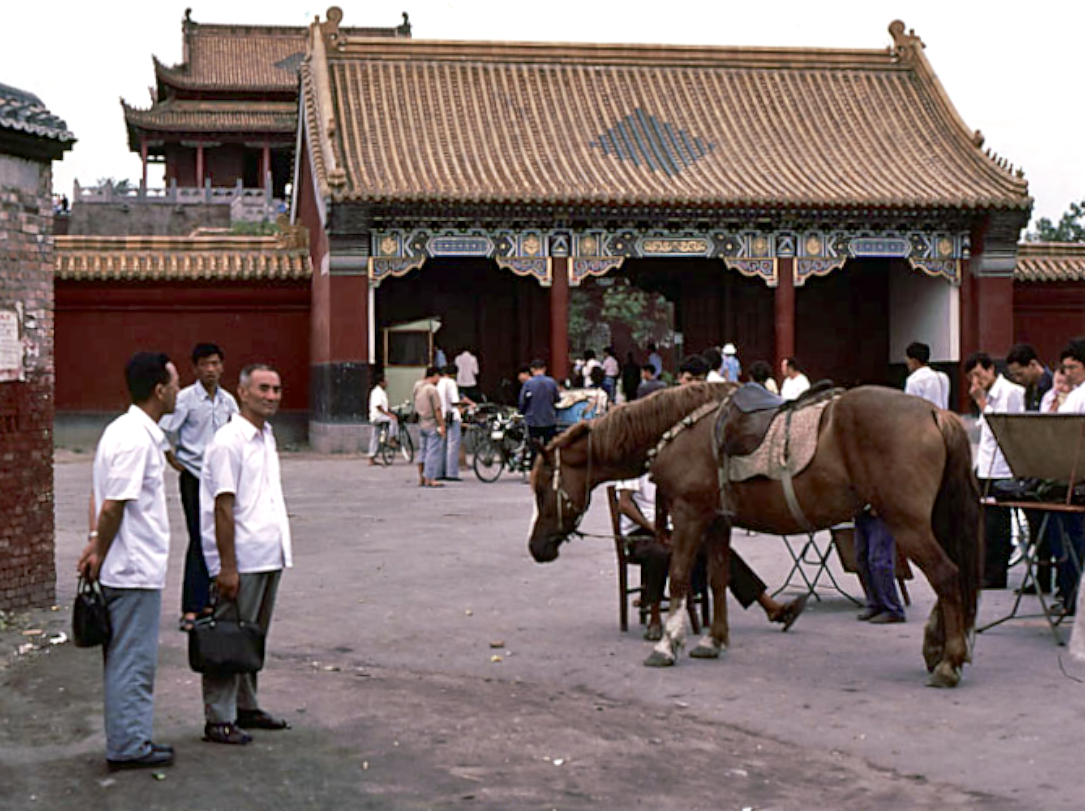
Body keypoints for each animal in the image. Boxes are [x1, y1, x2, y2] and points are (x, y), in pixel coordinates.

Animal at [527, 384, 985, 690]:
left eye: (542, 488)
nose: (536, 547)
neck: (682, 429)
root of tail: (934, 413)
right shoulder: (717, 521)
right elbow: (716, 578)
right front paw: (713, 640)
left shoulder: (690, 514)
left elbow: (679, 577)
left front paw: (667, 645)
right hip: (928, 520)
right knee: (955, 575)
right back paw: (941, 647)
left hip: (906, 522)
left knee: (946, 575)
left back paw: (949, 661)